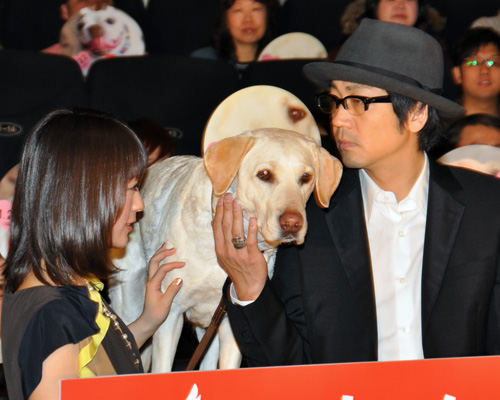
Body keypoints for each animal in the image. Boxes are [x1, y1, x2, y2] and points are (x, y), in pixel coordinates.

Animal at [111, 128, 342, 372]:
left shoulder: (232, 324)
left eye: (306, 177)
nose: (292, 224)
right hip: (131, 304)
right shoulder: (169, 315)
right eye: (265, 175)